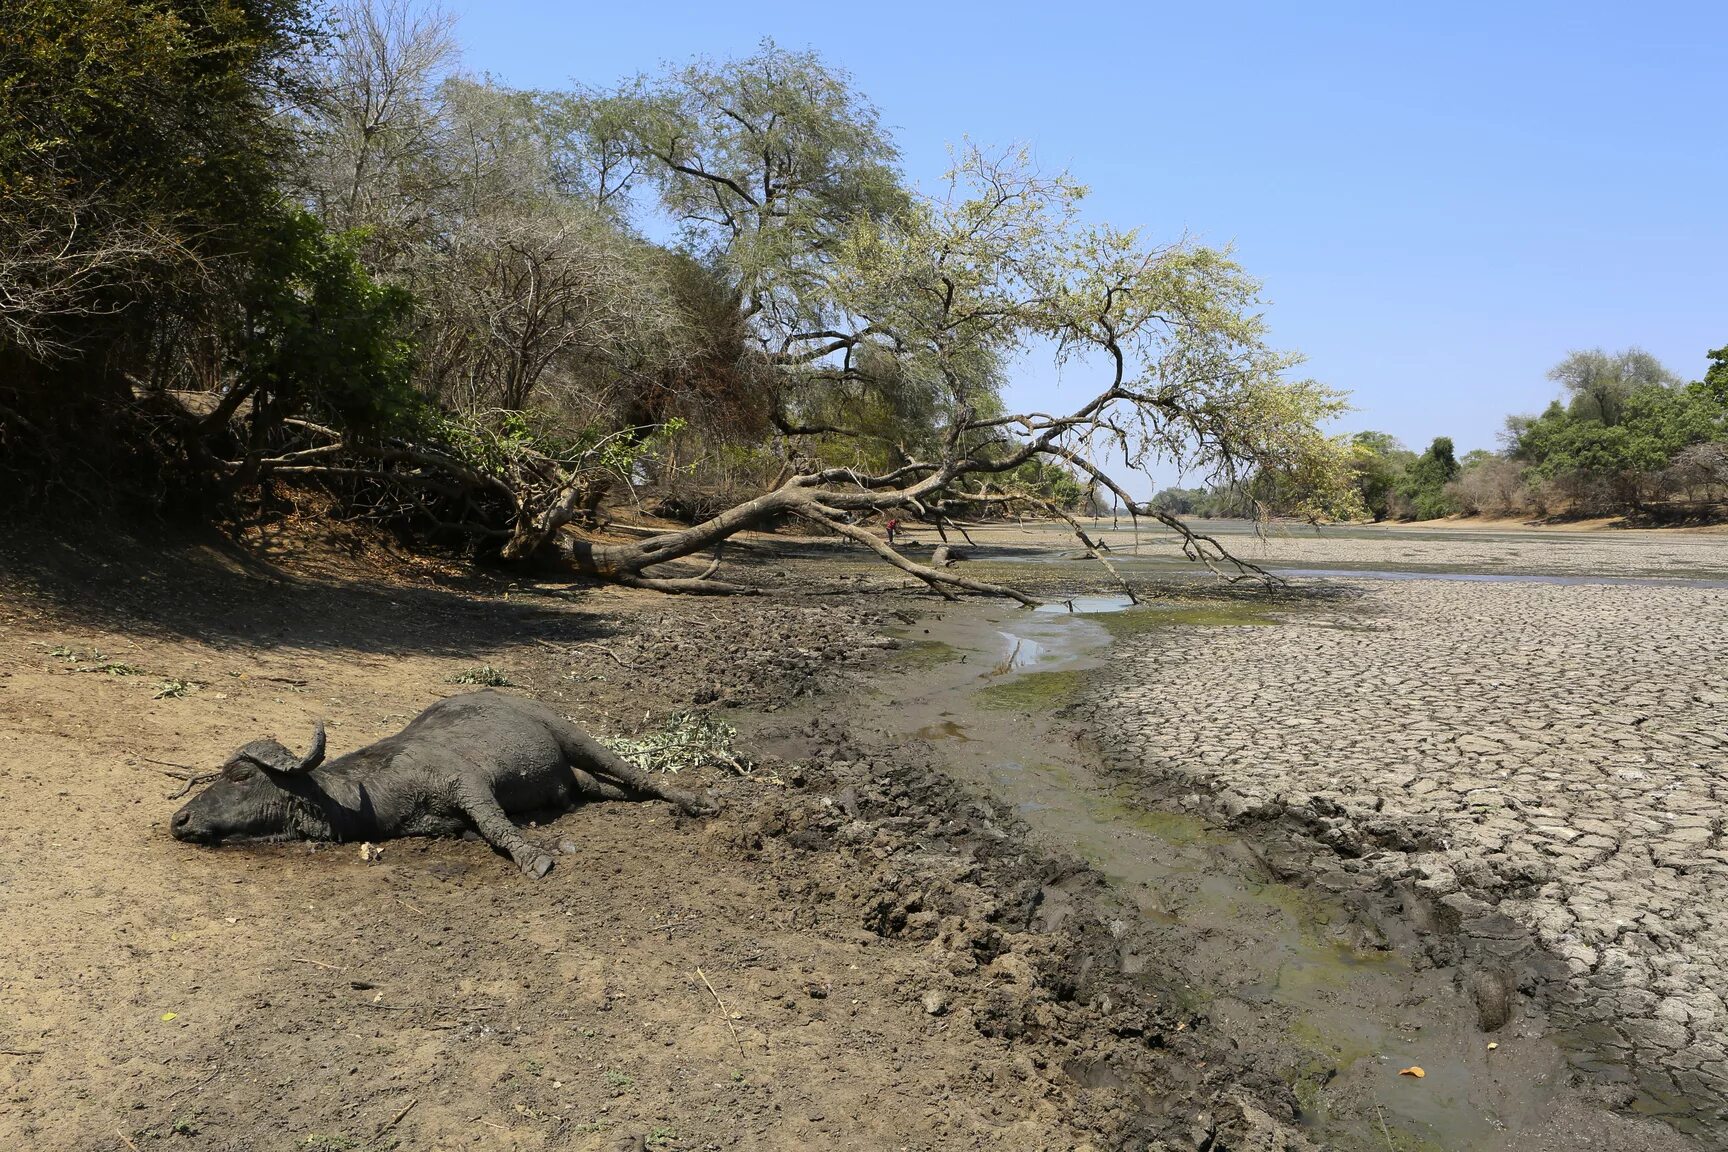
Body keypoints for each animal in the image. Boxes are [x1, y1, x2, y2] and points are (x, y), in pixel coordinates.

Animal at [168, 694, 708, 873]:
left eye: (240, 775)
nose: (180, 818)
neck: (371, 792)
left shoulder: (467, 783)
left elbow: (496, 827)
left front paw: (533, 857)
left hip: (574, 737)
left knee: (636, 773)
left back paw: (698, 800)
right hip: (576, 783)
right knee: (611, 789)